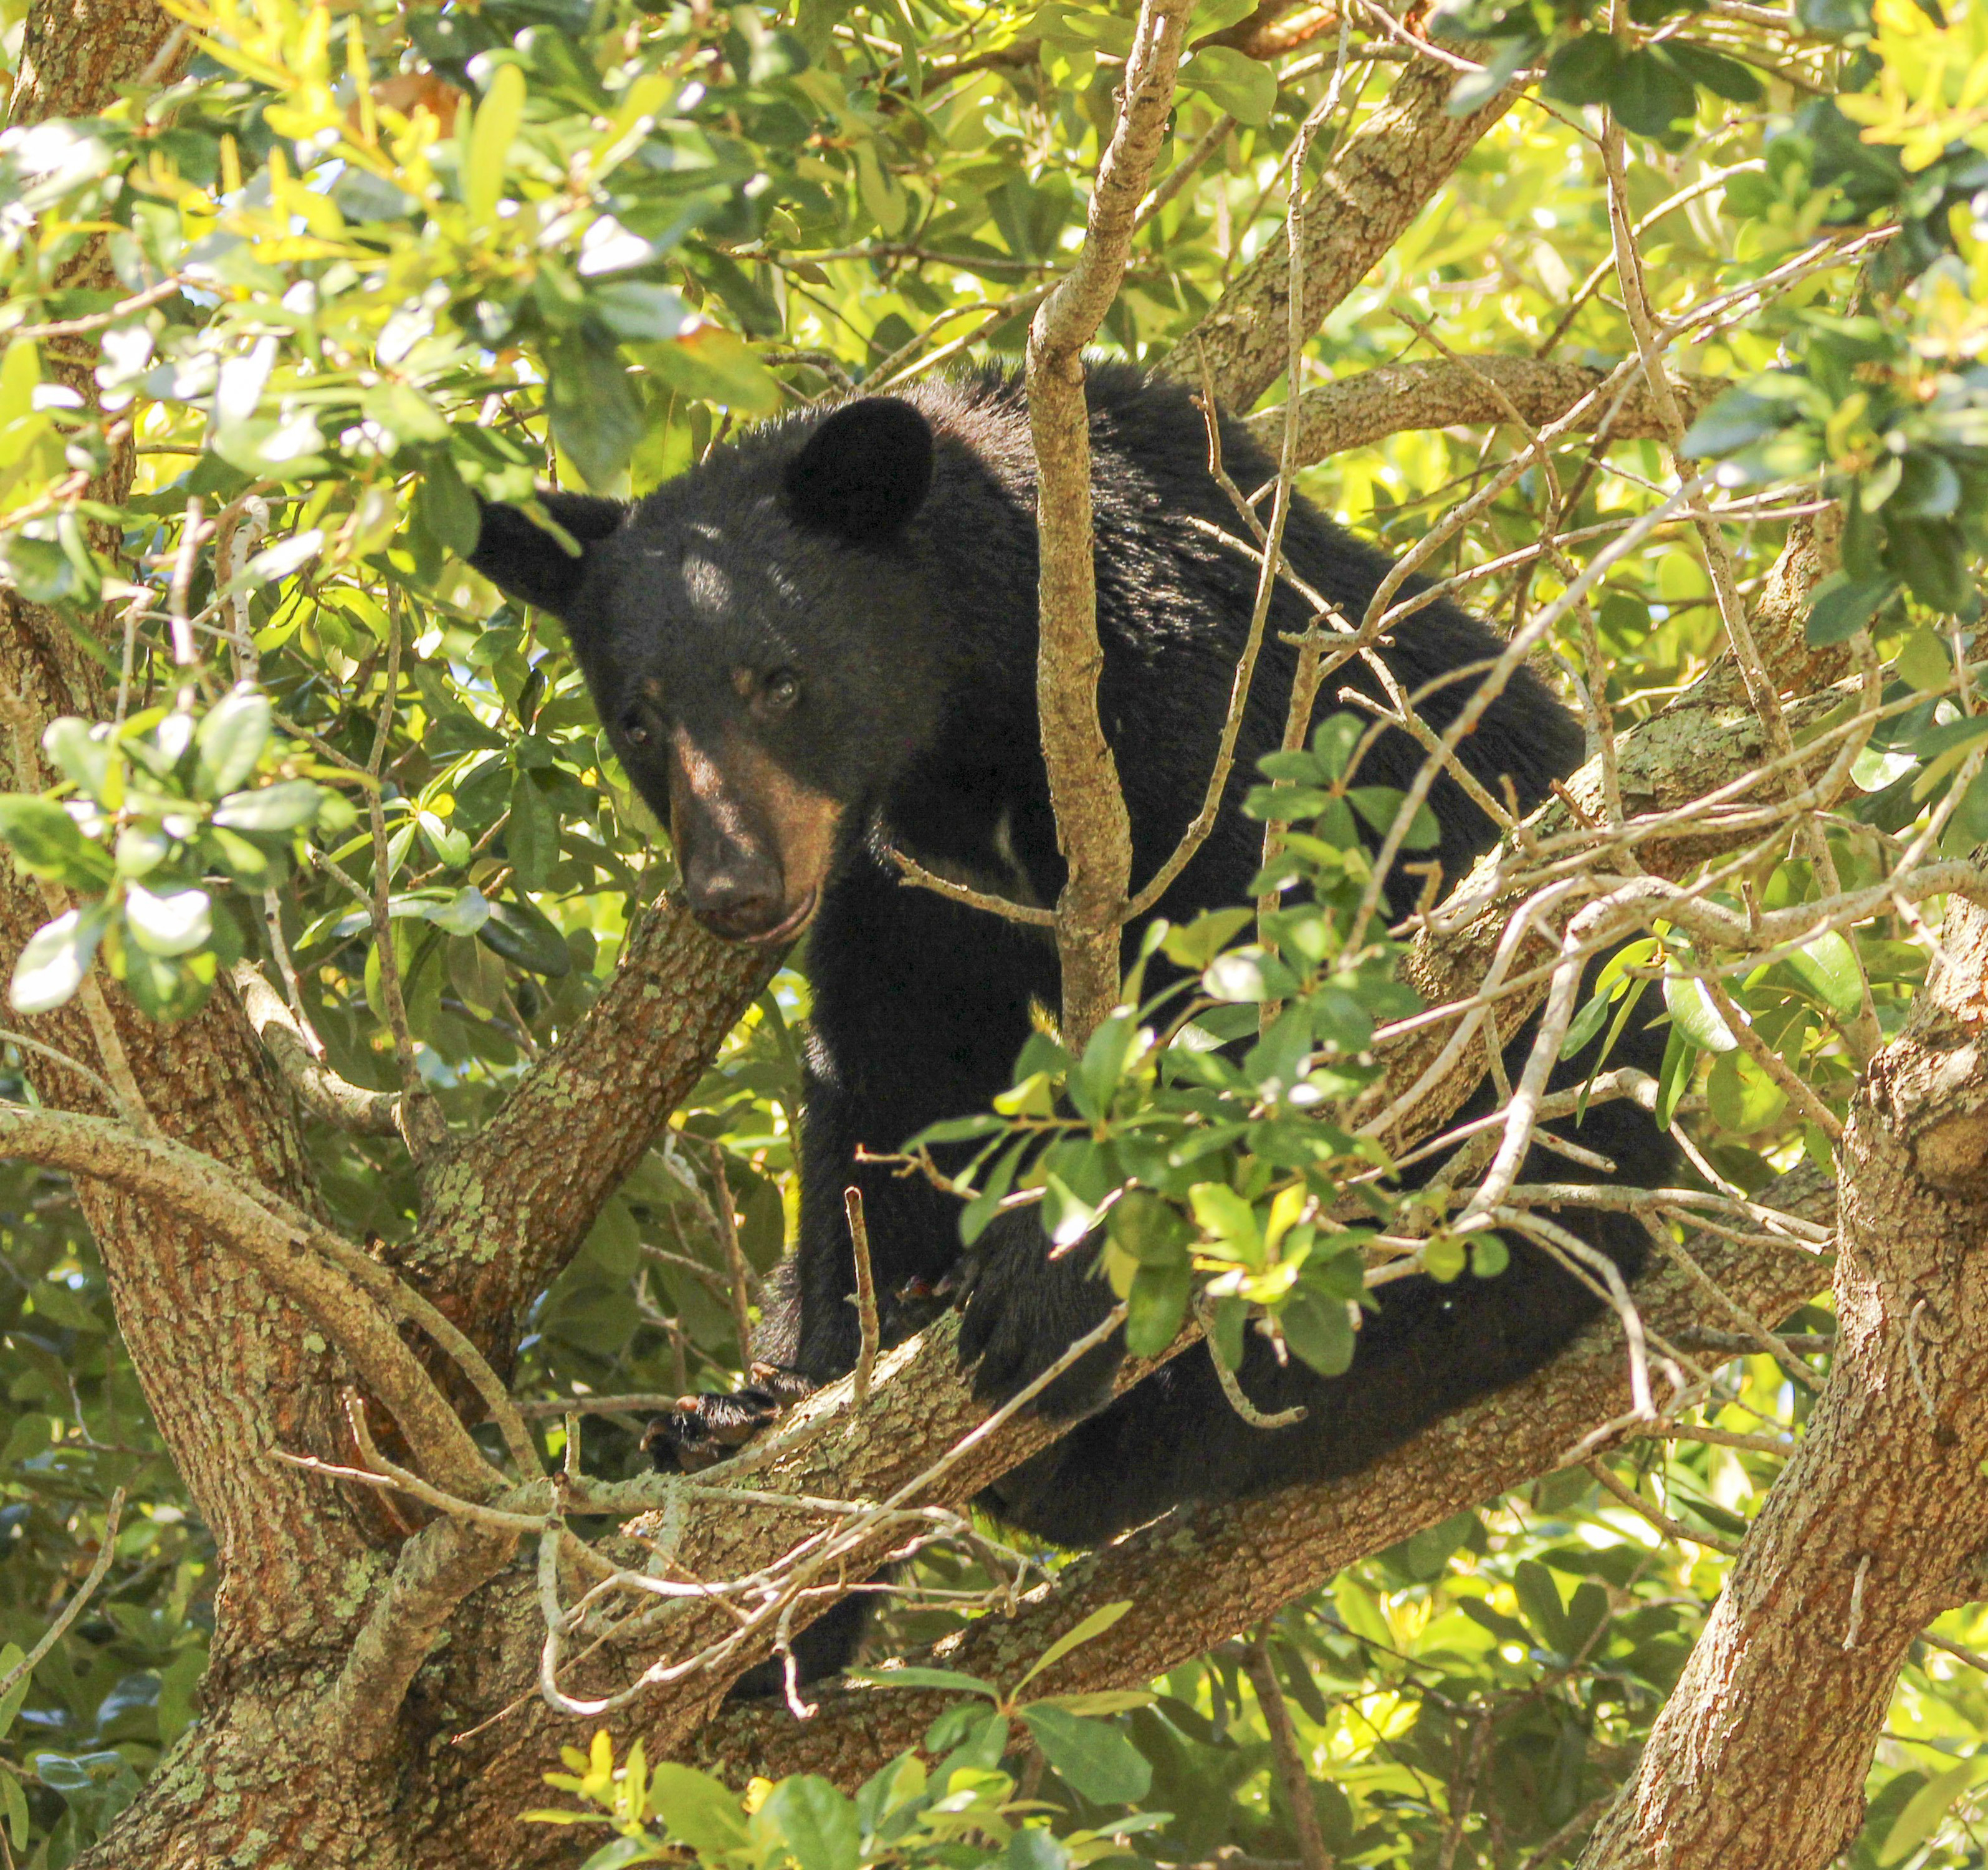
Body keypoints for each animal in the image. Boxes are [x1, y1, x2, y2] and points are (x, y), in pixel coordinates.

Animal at [465, 362, 1678, 1679]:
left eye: (778, 679)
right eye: (638, 720)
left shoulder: (1220, 719)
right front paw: (799, 1413)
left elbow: (1287, 991)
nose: (733, 888)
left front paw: (1050, 1280)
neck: (982, 715)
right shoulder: (902, 873)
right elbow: (894, 1086)